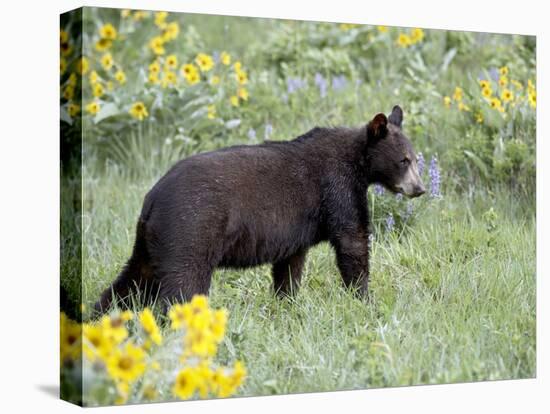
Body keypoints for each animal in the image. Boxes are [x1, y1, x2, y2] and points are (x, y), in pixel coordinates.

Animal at [96, 105, 426, 312]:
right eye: (403, 160)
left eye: (414, 158)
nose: (420, 188)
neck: (358, 163)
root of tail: (151, 200)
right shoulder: (337, 188)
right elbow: (352, 240)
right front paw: (364, 298)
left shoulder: (297, 228)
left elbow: (290, 264)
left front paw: (286, 301)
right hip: (190, 230)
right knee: (182, 286)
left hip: (152, 241)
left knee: (131, 281)